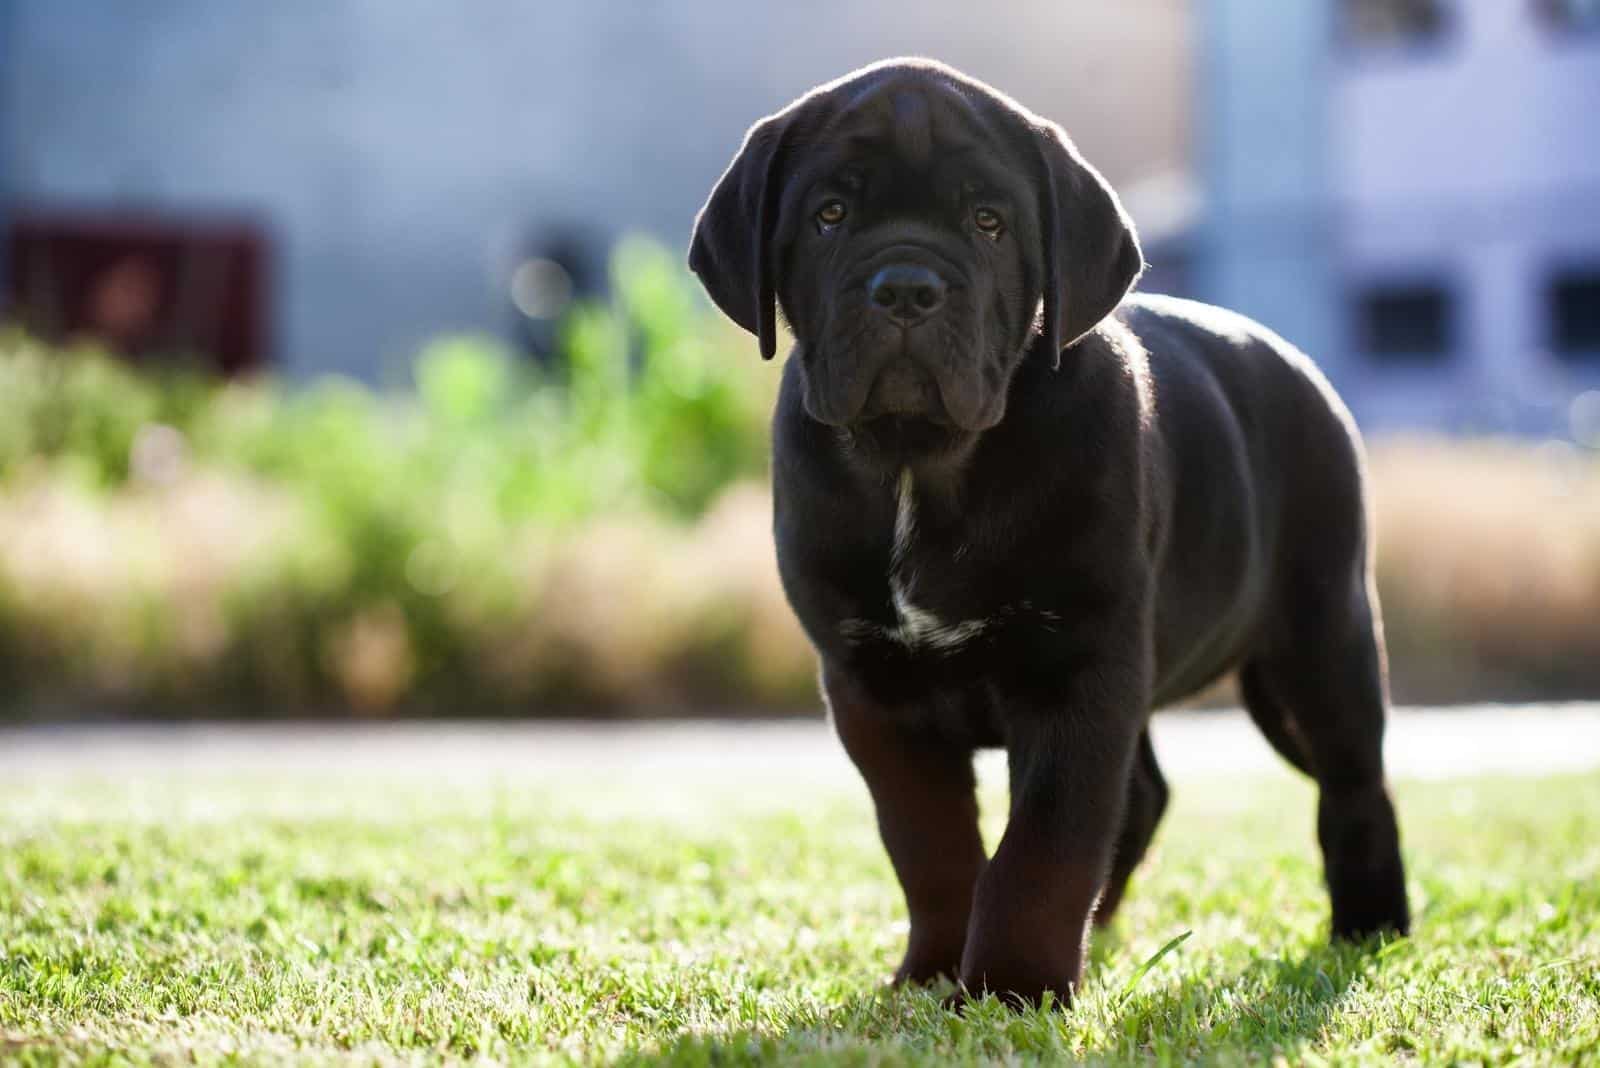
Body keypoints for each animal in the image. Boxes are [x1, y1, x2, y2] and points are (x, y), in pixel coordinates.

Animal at [681, 58, 1408, 1010]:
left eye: (988, 222)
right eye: (829, 213)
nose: (907, 287)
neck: (920, 464)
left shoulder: (1077, 666)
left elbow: (1046, 844)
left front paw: (1013, 985)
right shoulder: (872, 685)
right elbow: (931, 844)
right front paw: (934, 974)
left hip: (1321, 633)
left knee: (1355, 783)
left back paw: (1372, 928)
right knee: (1147, 793)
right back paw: (1105, 928)